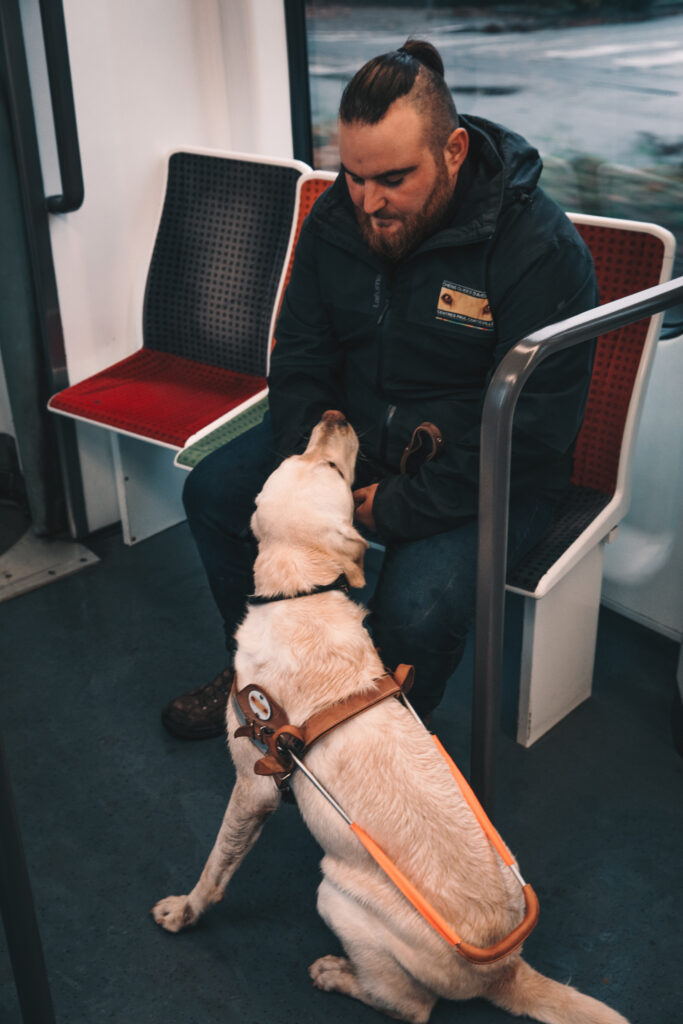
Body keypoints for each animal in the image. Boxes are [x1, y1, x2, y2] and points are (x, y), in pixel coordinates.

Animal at [153, 409, 630, 1024]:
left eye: (333, 466)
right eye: (301, 455)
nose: (333, 414)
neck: (299, 595)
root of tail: (506, 968)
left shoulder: (251, 787)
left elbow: (215, 868)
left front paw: (184, 911)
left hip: (335, 896)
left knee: (411, 1005)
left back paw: (337, 974)